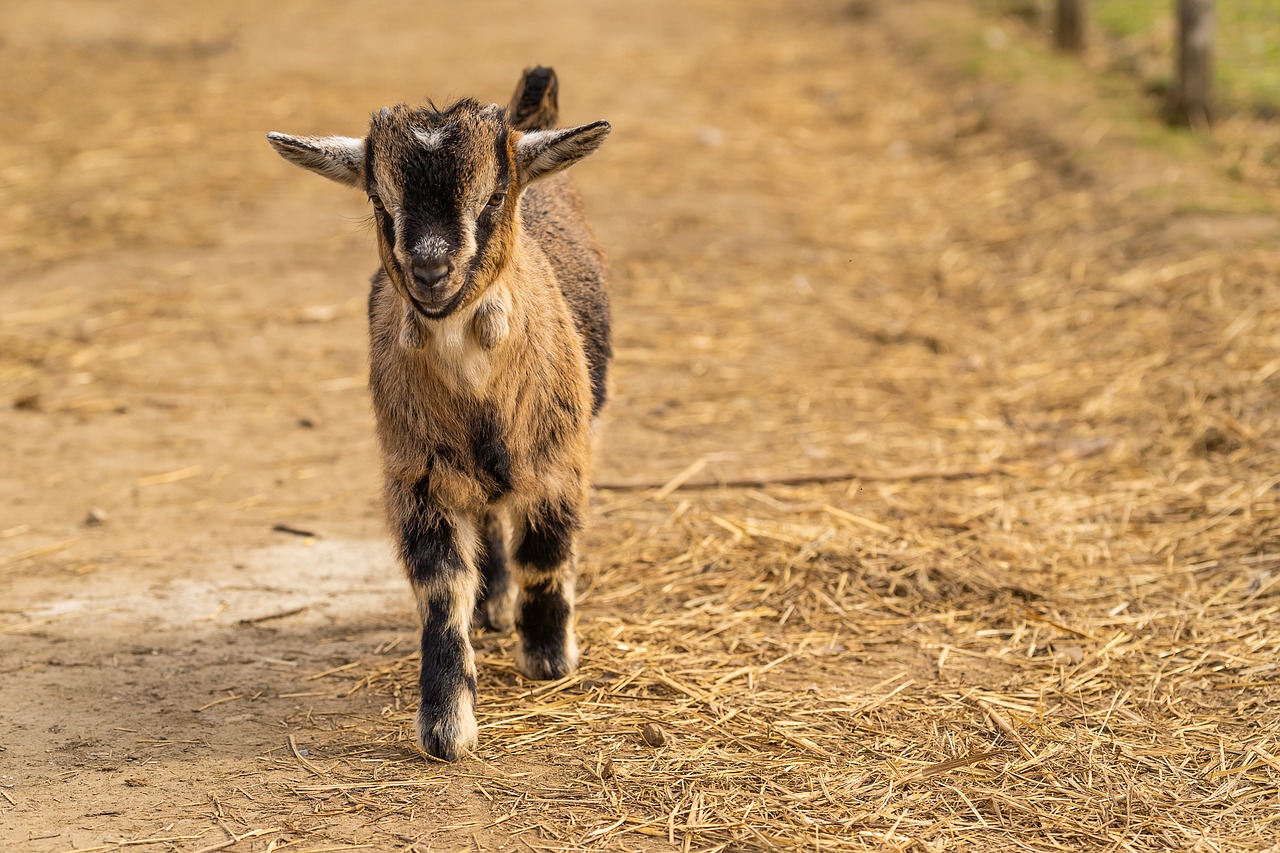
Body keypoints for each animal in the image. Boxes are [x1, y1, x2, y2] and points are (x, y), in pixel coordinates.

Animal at [264, 68, 609, 758]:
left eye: (495, 195)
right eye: (379, 200)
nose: (430, 270)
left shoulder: (561, 457)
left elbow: (546, 553)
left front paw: (548, 657)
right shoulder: (418, 475)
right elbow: (442, 587)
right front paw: (447, 725)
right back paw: (491, 605)